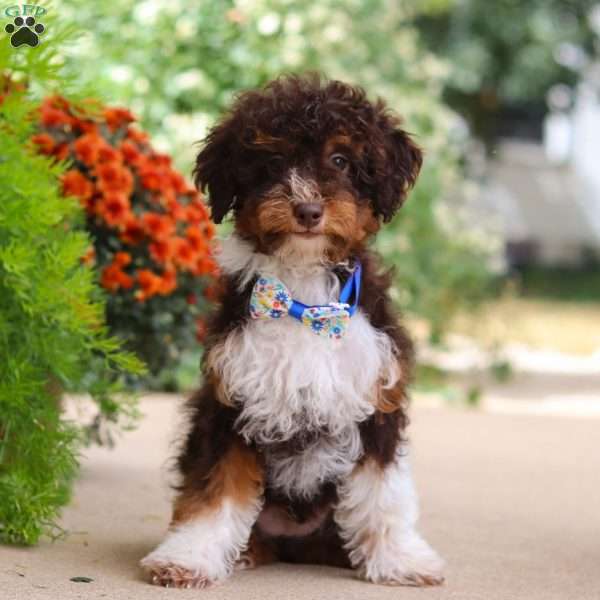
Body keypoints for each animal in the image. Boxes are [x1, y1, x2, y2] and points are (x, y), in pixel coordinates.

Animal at [138, 72, 442, 588]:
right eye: (273, 160)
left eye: (341, 159)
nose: (307, 209)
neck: (304, 295)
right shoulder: (229, 404)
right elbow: (214, 489)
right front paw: (189, 557)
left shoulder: (376, 402)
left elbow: (381, 491)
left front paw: (400, 559)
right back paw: (243, 552)